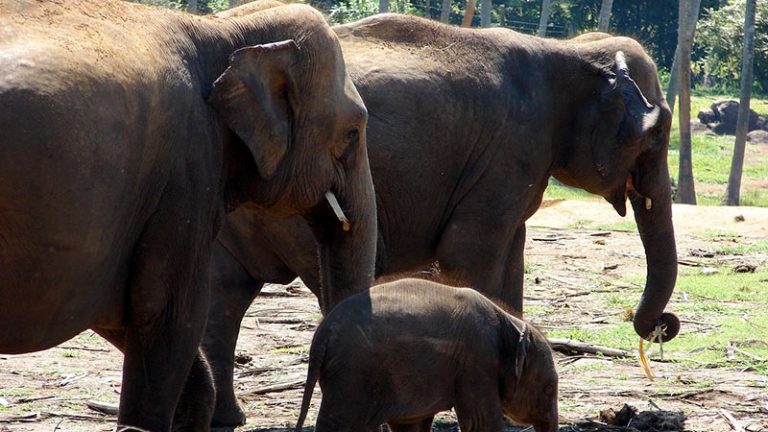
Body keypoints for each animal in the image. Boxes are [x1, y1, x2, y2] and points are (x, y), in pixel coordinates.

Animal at [294, 279, 559, 432]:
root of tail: (322, 333)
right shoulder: (477, 362)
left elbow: (412, 424)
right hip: (353, 373)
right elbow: (481, 422)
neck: (510, 323)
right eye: (548, 389)